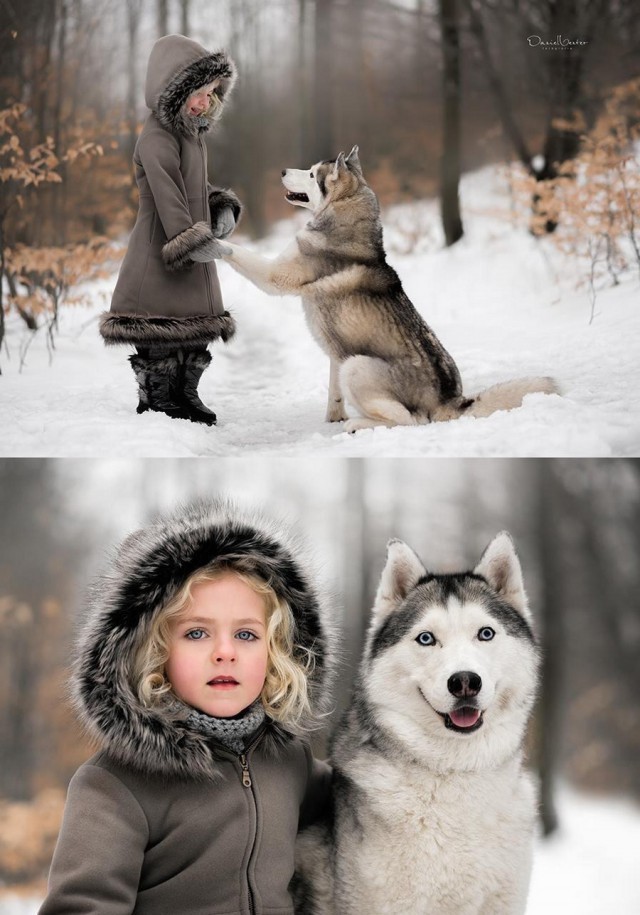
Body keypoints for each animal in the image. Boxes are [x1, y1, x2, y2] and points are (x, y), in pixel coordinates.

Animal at [216, 148, 556, 434]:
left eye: (312, 174)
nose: (283, 170)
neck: (343, 215)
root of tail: (449, 402)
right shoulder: (337, 357)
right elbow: (334, 392)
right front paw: (333, 416)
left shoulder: (275, 276)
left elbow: (238, 252)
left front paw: (211, 239)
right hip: (350, 363)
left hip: (357, 366)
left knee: (409, 420)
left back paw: (357, 425)